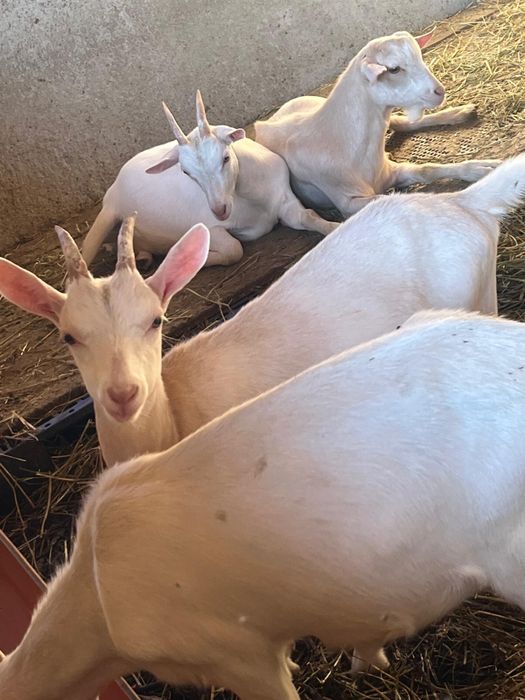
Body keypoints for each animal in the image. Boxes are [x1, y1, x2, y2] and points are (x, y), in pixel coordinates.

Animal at [1, 154, 524, 467]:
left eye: (156, 321)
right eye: (69, 336)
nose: (122, 394)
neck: (174, 414)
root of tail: (462, 204)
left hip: (477, 296)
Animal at [81, 90, 337, 269]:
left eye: (225, 158)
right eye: (187, 173)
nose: (220, 210)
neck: (253, 202)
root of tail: (114, 187)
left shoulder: (284, 200)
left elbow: (309, 216)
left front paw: (336, 227)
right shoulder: (209, 228)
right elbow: (233, 249)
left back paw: (142, 257)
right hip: (106, 217)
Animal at [255, 31, 501, 216]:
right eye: (394, 69)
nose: (439, 91)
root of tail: (273, 116)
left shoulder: (391, 170)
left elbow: (427, 169)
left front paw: (481, 168)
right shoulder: (348, 202)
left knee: (401, 122)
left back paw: (459, 112)